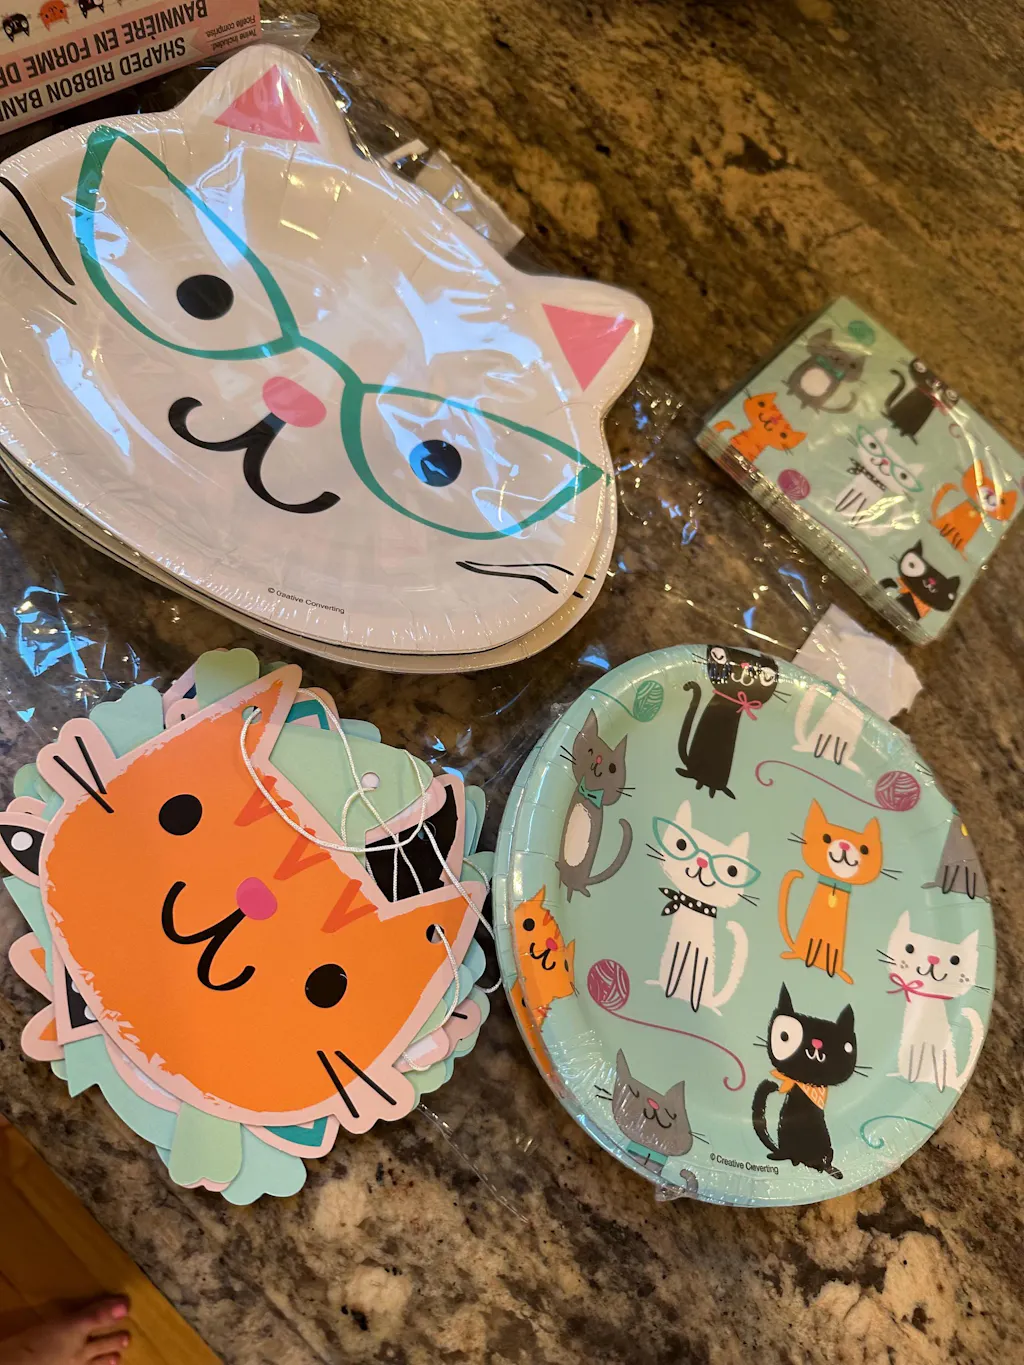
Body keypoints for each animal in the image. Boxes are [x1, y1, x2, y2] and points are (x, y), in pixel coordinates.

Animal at [647, 799, 759, 1013]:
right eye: (681, 844)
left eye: (732, 870)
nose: (702, 861)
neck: (694, 905)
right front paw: (669, 991)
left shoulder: (702, 960)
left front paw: (689, 1000)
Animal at [752, 984, 858, 1180]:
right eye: (784, 1036)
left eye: (846, 1047)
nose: (816, 1043)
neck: (809, 1086)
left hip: (826, 1148)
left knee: (825, 1160)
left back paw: (830, 1170)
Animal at [778, 799, 883, 984]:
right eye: (826, 838)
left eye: (865, 849)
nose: (844, 844)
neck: (834, 887)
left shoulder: (835, 949)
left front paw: (834, 971)